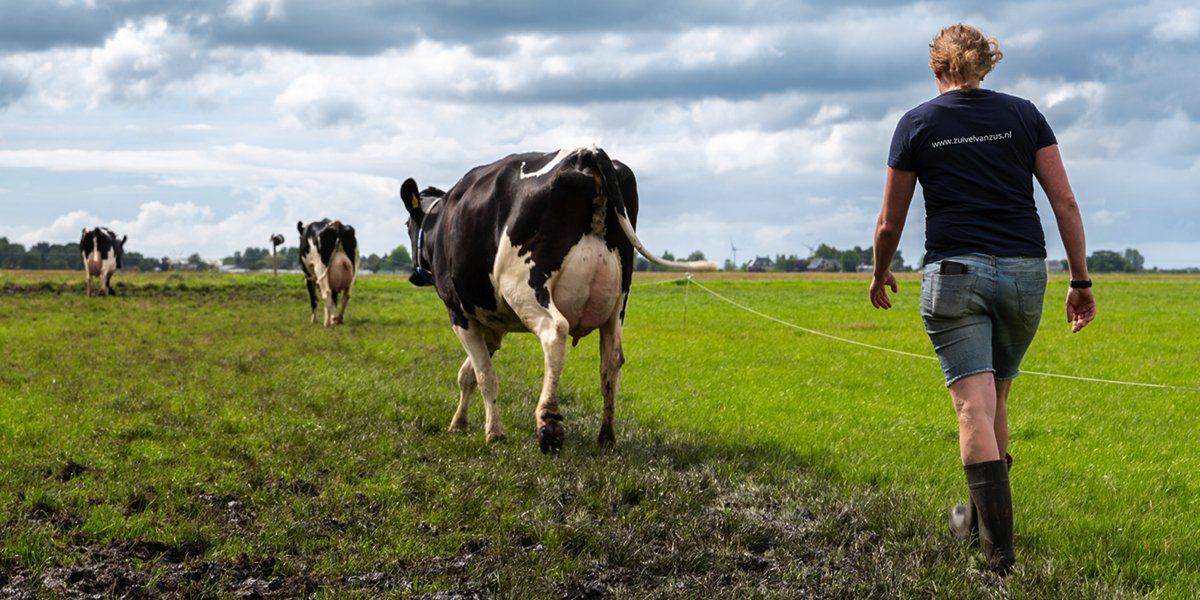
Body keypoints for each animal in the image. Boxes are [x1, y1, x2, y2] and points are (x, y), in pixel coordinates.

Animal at [398, 146, 715, 453]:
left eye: (407, 225)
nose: (413, 276)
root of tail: (586, 152)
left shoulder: (458, 313)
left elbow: (484, 375)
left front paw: (494, 434)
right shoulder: (492, 323)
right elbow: (469, 374)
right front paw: (459, 425)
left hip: (525, 287)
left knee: (555, 332)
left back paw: (548, 425)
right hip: (619, 297)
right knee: (612, 359)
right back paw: (606, 438)